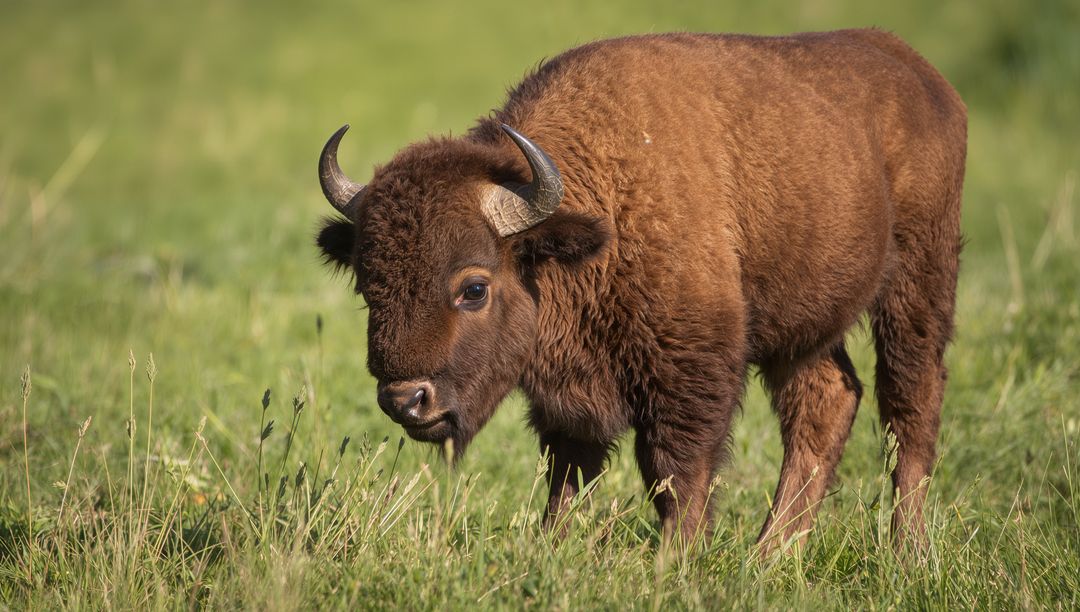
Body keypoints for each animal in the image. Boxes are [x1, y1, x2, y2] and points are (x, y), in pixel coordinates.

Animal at [316, 29, 966, 547]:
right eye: (369, 288)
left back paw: (905, 550)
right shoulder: (569, 394)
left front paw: (673, 560)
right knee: (827, 401)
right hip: (801, 327)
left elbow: (675, 471)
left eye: (474, 288)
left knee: (910, 404)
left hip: (918, 281)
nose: (406, 400)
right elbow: (569, 472)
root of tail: (921, 73)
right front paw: (550, 549)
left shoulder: (691, 367)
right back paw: (769, 555)